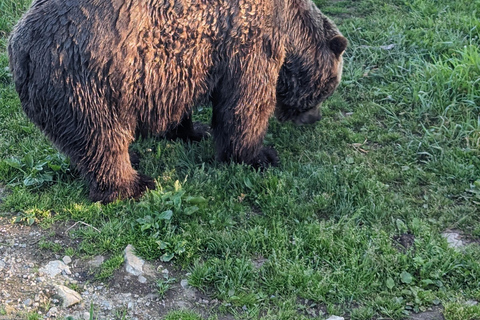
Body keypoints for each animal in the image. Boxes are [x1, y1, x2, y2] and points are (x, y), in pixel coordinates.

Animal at [7, 0, 344, 204]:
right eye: (330, 86)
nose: (315, 118)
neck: (288, 24)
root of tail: (20, 46)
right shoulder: (248, 42)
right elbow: (245, 105)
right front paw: (261, 156)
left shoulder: (176, 66)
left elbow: (178, 105)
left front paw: (193, 131)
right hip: (88, 80)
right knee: (101, 139)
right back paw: (133, 185)